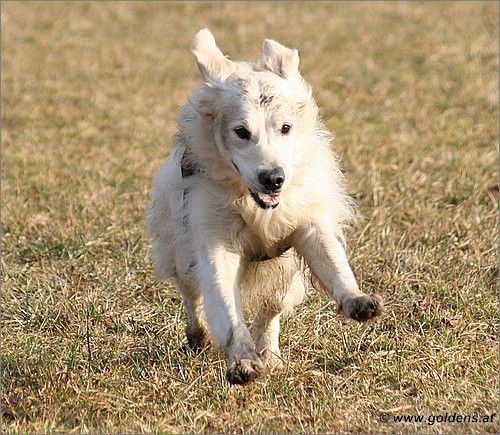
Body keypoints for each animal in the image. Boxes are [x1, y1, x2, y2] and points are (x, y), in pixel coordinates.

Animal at [146, 29, 383, 385]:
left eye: (286, 128)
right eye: (241, 132)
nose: (273, 179)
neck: (254, 203)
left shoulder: (305, 219)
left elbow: (330, 257)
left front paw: (356, 299)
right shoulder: (214, 238)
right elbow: (223, 302)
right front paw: (242, 361)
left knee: (271, 309)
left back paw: (269, 352)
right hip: (177, 246)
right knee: (191, 295)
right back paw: (199, 335)